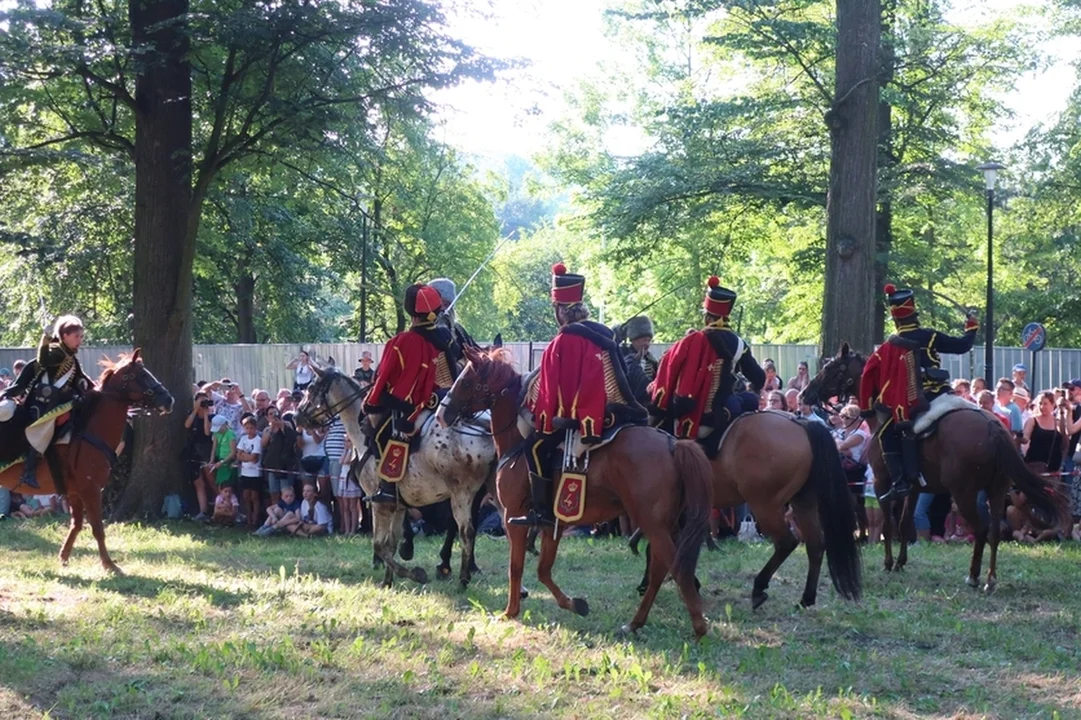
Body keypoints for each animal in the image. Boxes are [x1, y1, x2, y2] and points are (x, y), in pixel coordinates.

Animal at [0, 350, 172, 575]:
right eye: (141, 375)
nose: (168, 399)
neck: (89, 431)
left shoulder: (75, 491)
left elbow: (77, 524)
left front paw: (64, 556)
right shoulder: (91, 489)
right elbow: (97, 528)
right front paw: (109, 564)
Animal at [296, 367, 497, 588]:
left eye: (311, 388)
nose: (297, 416)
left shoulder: (378, 503)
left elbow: (380, 545)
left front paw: (414, 573)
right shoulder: (398, 504)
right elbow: (390, 544)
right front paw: (388, 581)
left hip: (462, 494)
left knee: (466, 531)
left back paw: (461, 578)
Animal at [434, 345, 713, 635]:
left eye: (466, 381)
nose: (442, 414)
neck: (518, 444)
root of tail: (672, 444)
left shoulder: (513, 518)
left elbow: (516, 566)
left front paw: (510, 612)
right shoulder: (551, 525)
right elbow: (543, 570)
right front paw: (573, 604)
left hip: (653, 525)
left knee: (676, 568)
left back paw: (698, 626)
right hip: (665, 525)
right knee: (660, 569)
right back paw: (636, 623)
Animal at [804, 341, 1072, 588]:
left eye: (830, 368)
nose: (806, 394)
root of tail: (993, 427)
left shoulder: (882, 483)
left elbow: (888, 525)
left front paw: (888, 563)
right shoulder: (913, 488)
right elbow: (905, 523)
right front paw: (900, 562)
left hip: (963, 494)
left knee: (981, 528)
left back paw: (973, 575)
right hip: (996, 491)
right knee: (994, 530)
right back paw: (990, 578)